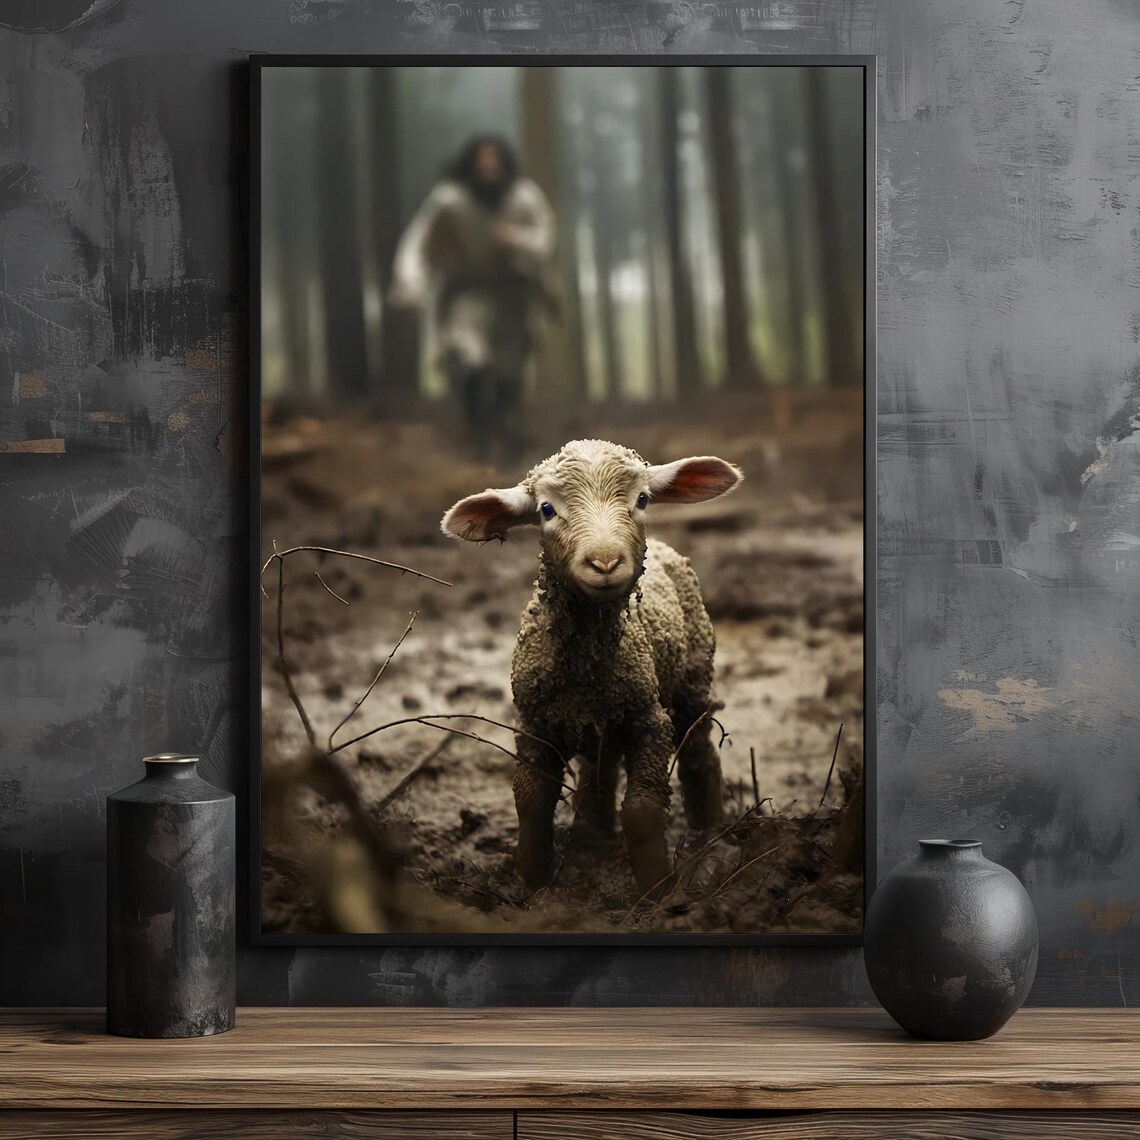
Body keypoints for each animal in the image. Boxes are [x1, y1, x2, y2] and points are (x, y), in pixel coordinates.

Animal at [441, 439, 743, 897]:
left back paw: (708, 834)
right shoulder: (535, 723)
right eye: (547, 509)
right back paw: (592, 837)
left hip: (691, 677)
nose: (604, 562)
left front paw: (657, 890)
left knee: (698, 748)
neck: (585, 668)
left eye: (643, 499)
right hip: (605, 718)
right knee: (600, 769)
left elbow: (641, 812)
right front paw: (532, 881)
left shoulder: (649, 720)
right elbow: (530, 802)